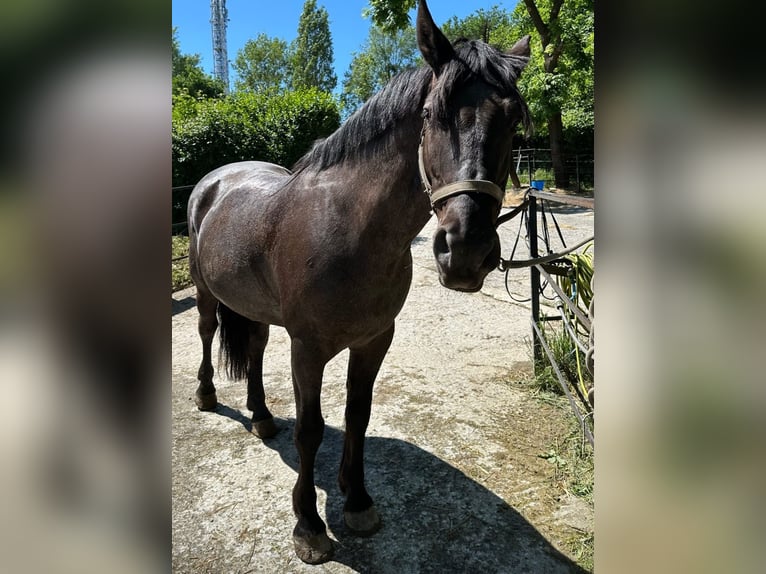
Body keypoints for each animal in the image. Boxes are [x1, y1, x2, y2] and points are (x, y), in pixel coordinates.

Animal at [187, 0, 531, 564]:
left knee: (254, 348)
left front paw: (358, 500)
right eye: (432, 116)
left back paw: (261, 416)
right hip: (204, 294)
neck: (348, 228)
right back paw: (207, 395)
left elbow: (358, 415)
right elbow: (311, 431)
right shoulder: (307, 348)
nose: (466, 253)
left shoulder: (374, 340)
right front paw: (309, 526)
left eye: (514, 124)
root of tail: (216, 179)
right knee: (207, 331)